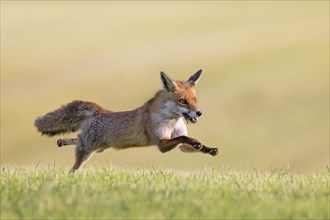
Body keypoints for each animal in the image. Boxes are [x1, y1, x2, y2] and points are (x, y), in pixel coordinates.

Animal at [34, 69, 218, 173]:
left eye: (195, 100)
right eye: (182, 101)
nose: (199, 113)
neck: (171, 121)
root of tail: (99, 111)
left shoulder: (181, 147)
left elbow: (189, 142)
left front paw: (208, 149)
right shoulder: (162, 143)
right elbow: (184, 137)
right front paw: (198, 143)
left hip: (99, 148)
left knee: (75, 139)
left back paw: (61, 141)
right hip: (88, 148)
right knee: (75, 158)